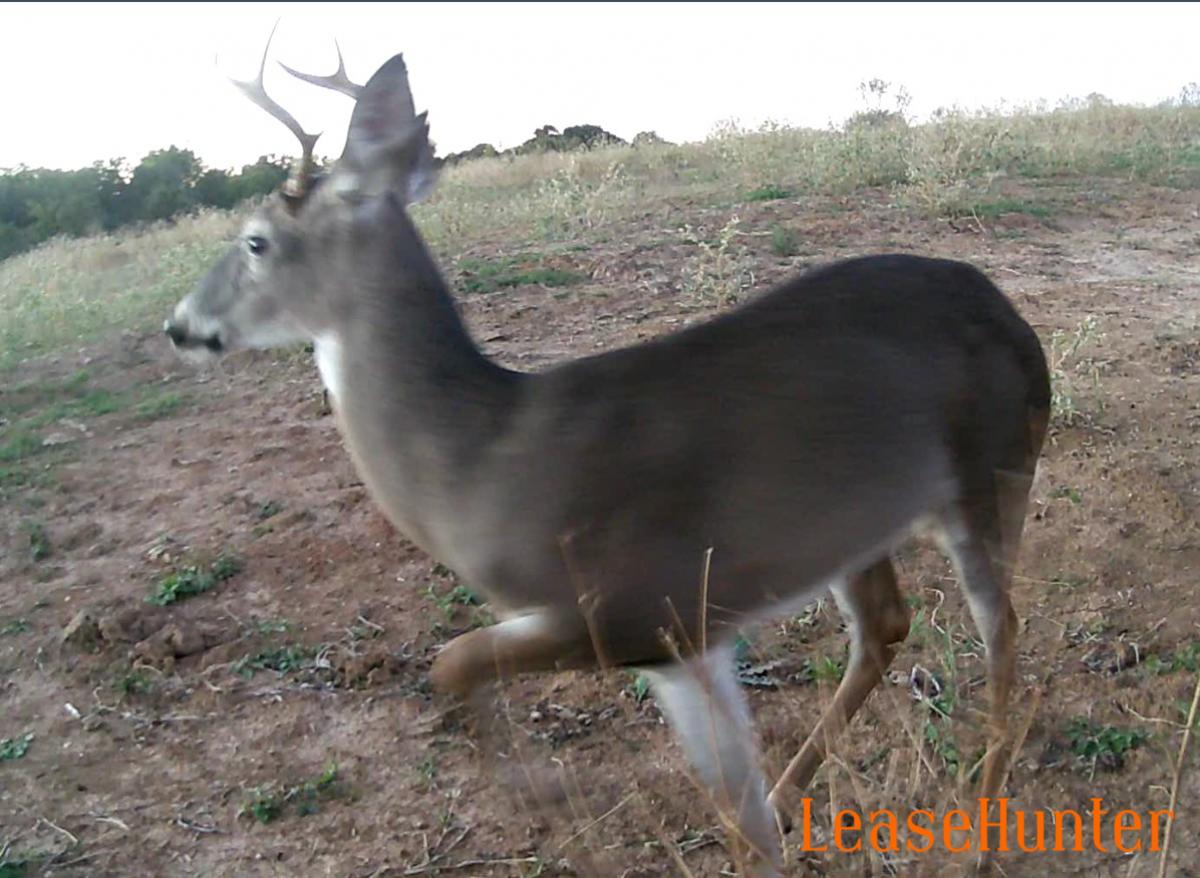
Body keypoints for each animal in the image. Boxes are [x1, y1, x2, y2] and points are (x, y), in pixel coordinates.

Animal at [164, 32, 1050, 877]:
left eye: (255, 241)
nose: (179, 324)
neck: (480, 460)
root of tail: (1005, 307)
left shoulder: (635, 610)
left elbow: (452, 661)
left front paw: (549, 795)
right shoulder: (692, 633)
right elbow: (745, 829)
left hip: (993, 468)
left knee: (1002, 631)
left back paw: (979, 842)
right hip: (854, 525)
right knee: (885, 628)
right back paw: (798, 791)